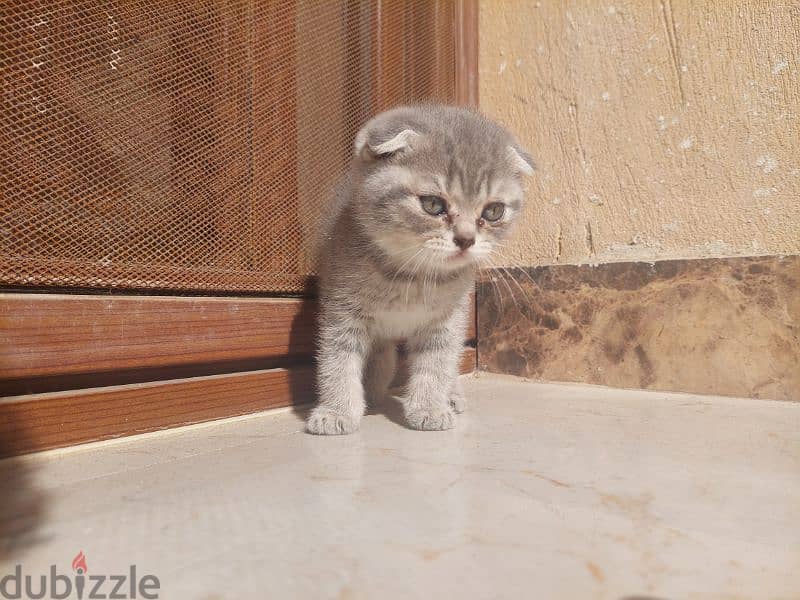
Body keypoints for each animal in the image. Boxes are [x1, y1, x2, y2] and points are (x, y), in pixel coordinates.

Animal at [306, 105, 532, 436]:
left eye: (493, 211)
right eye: (433, 204)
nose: (466, 239)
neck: (410, 275)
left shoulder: (446, 321)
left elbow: (436, 363)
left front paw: (429, 406)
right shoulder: (342, 311)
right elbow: (338, 360)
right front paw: (337, 411)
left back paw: (450, 394)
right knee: (381, 359)